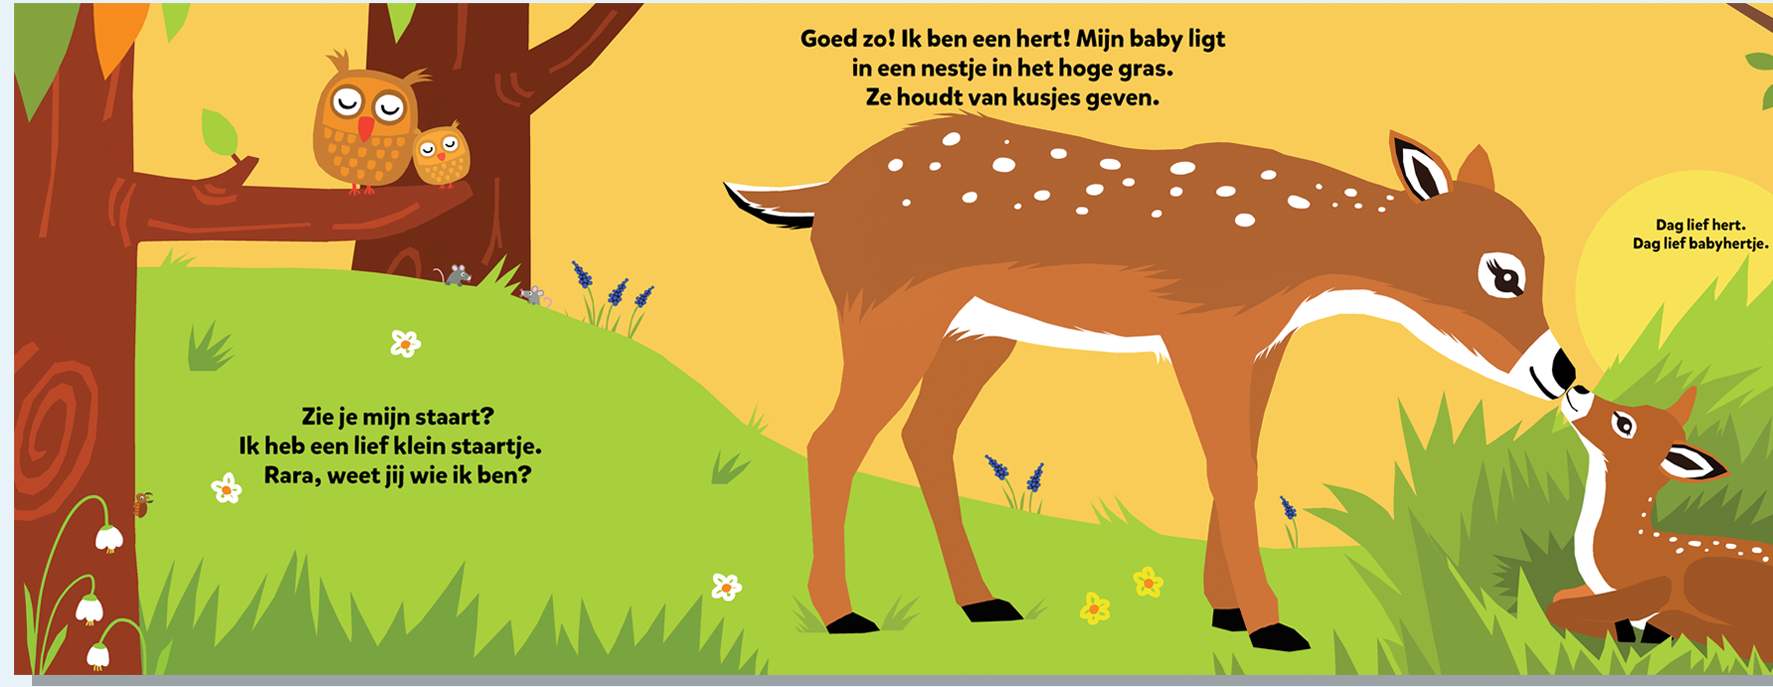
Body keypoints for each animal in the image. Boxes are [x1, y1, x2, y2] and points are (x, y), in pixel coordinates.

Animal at [723, 113, 1576, 651]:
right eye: (1501, 273)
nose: (1561, 371)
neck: (1302, 265)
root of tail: (819, 196)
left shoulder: (1262, 344)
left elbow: (1239, 461)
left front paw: (1226, 611)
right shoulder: (1206, 331)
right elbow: (1231, 468)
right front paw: (1269, 623)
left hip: (978, 329)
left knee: (924, 431)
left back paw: (983, 601)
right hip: (885, 308)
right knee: (834, 437)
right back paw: (843, 615)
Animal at [1550, 385, 1770, 659]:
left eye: (1624, 424)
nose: (1579, 389)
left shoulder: (1658, 583)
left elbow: (1558, 608)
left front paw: (1622, 630)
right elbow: (1558, 597)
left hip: (1703, 573)